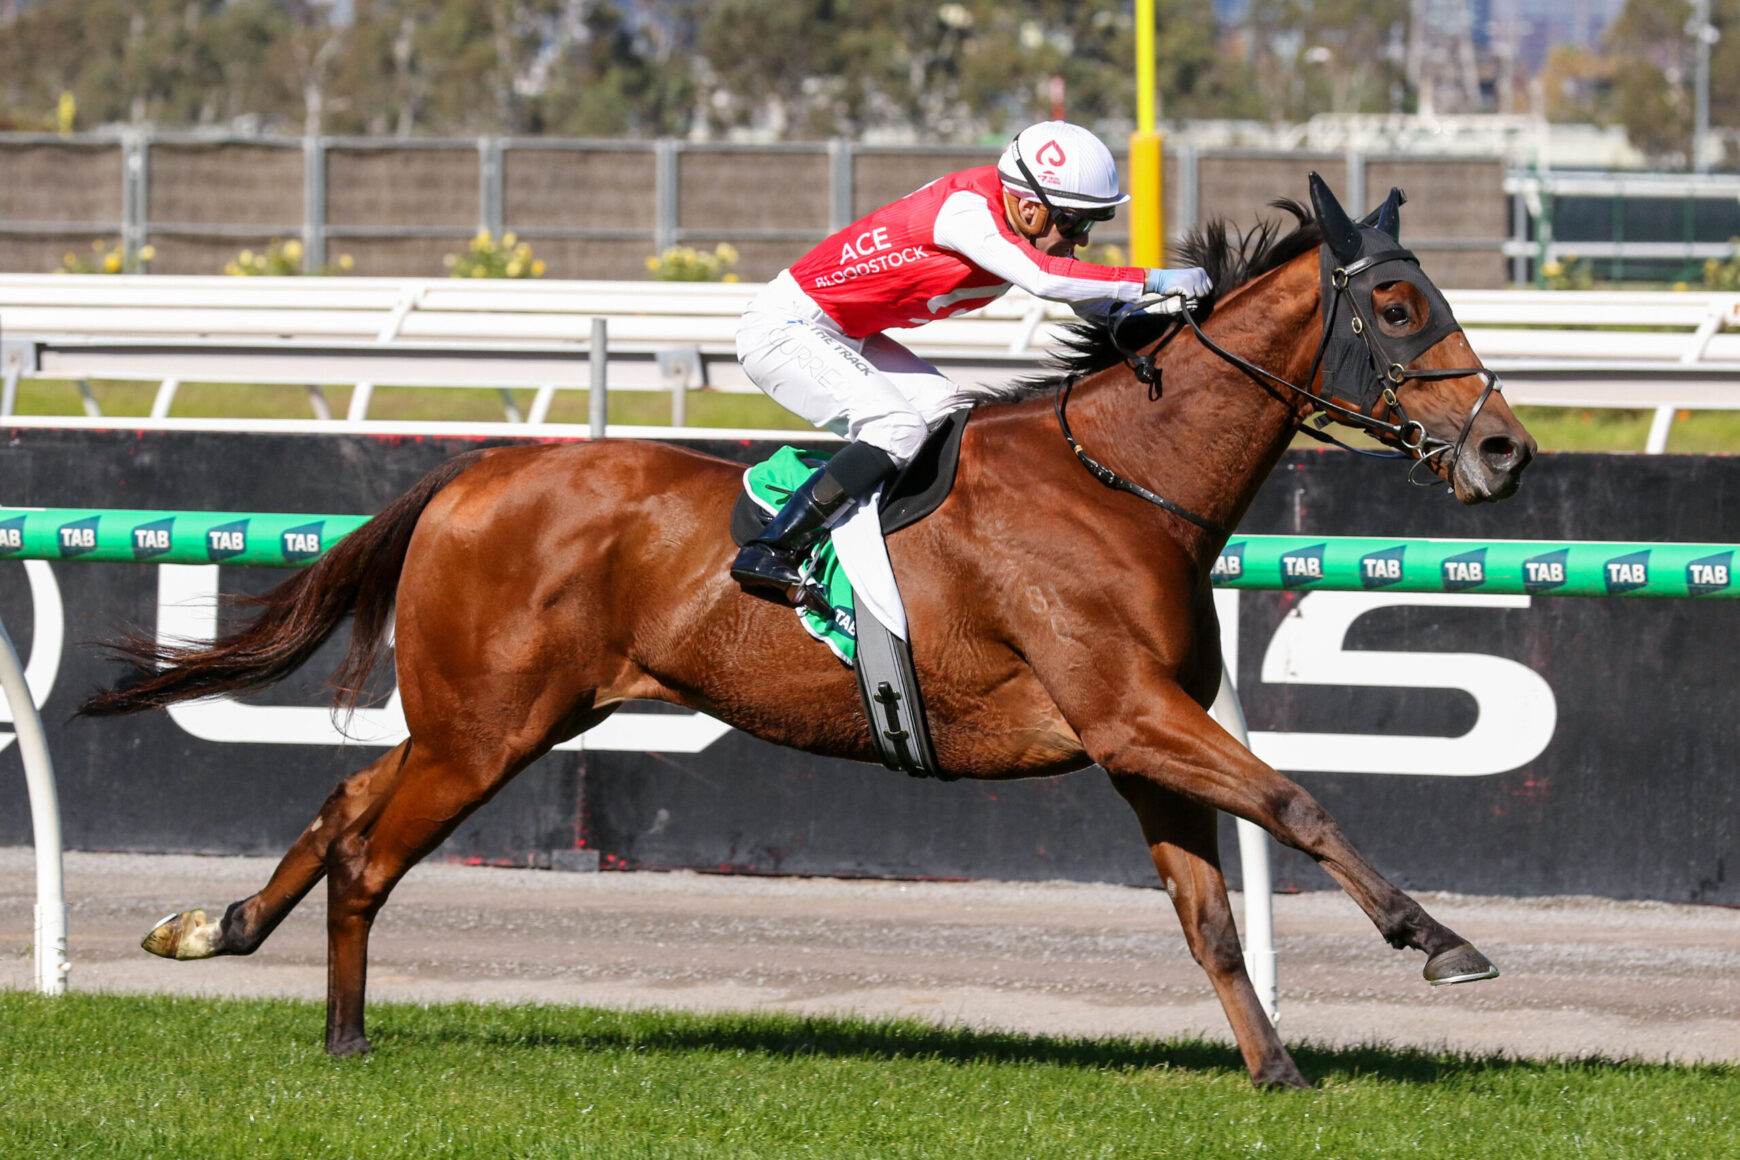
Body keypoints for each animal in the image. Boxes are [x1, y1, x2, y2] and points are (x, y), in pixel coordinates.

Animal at [82, 176, 1535, 1089]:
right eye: (1398, 307)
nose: (1507, 450)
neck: (1121, 480)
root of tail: (472, 472)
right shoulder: (1132, 713)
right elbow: (1298, 801)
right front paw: (1440, 945)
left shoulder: (1138, 741)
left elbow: (1211, 915)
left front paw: (1278, 1067)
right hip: (485, 727)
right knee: (371, 852)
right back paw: (344, 1040)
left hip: (492, 716)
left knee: (343, 802)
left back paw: (214, 928)